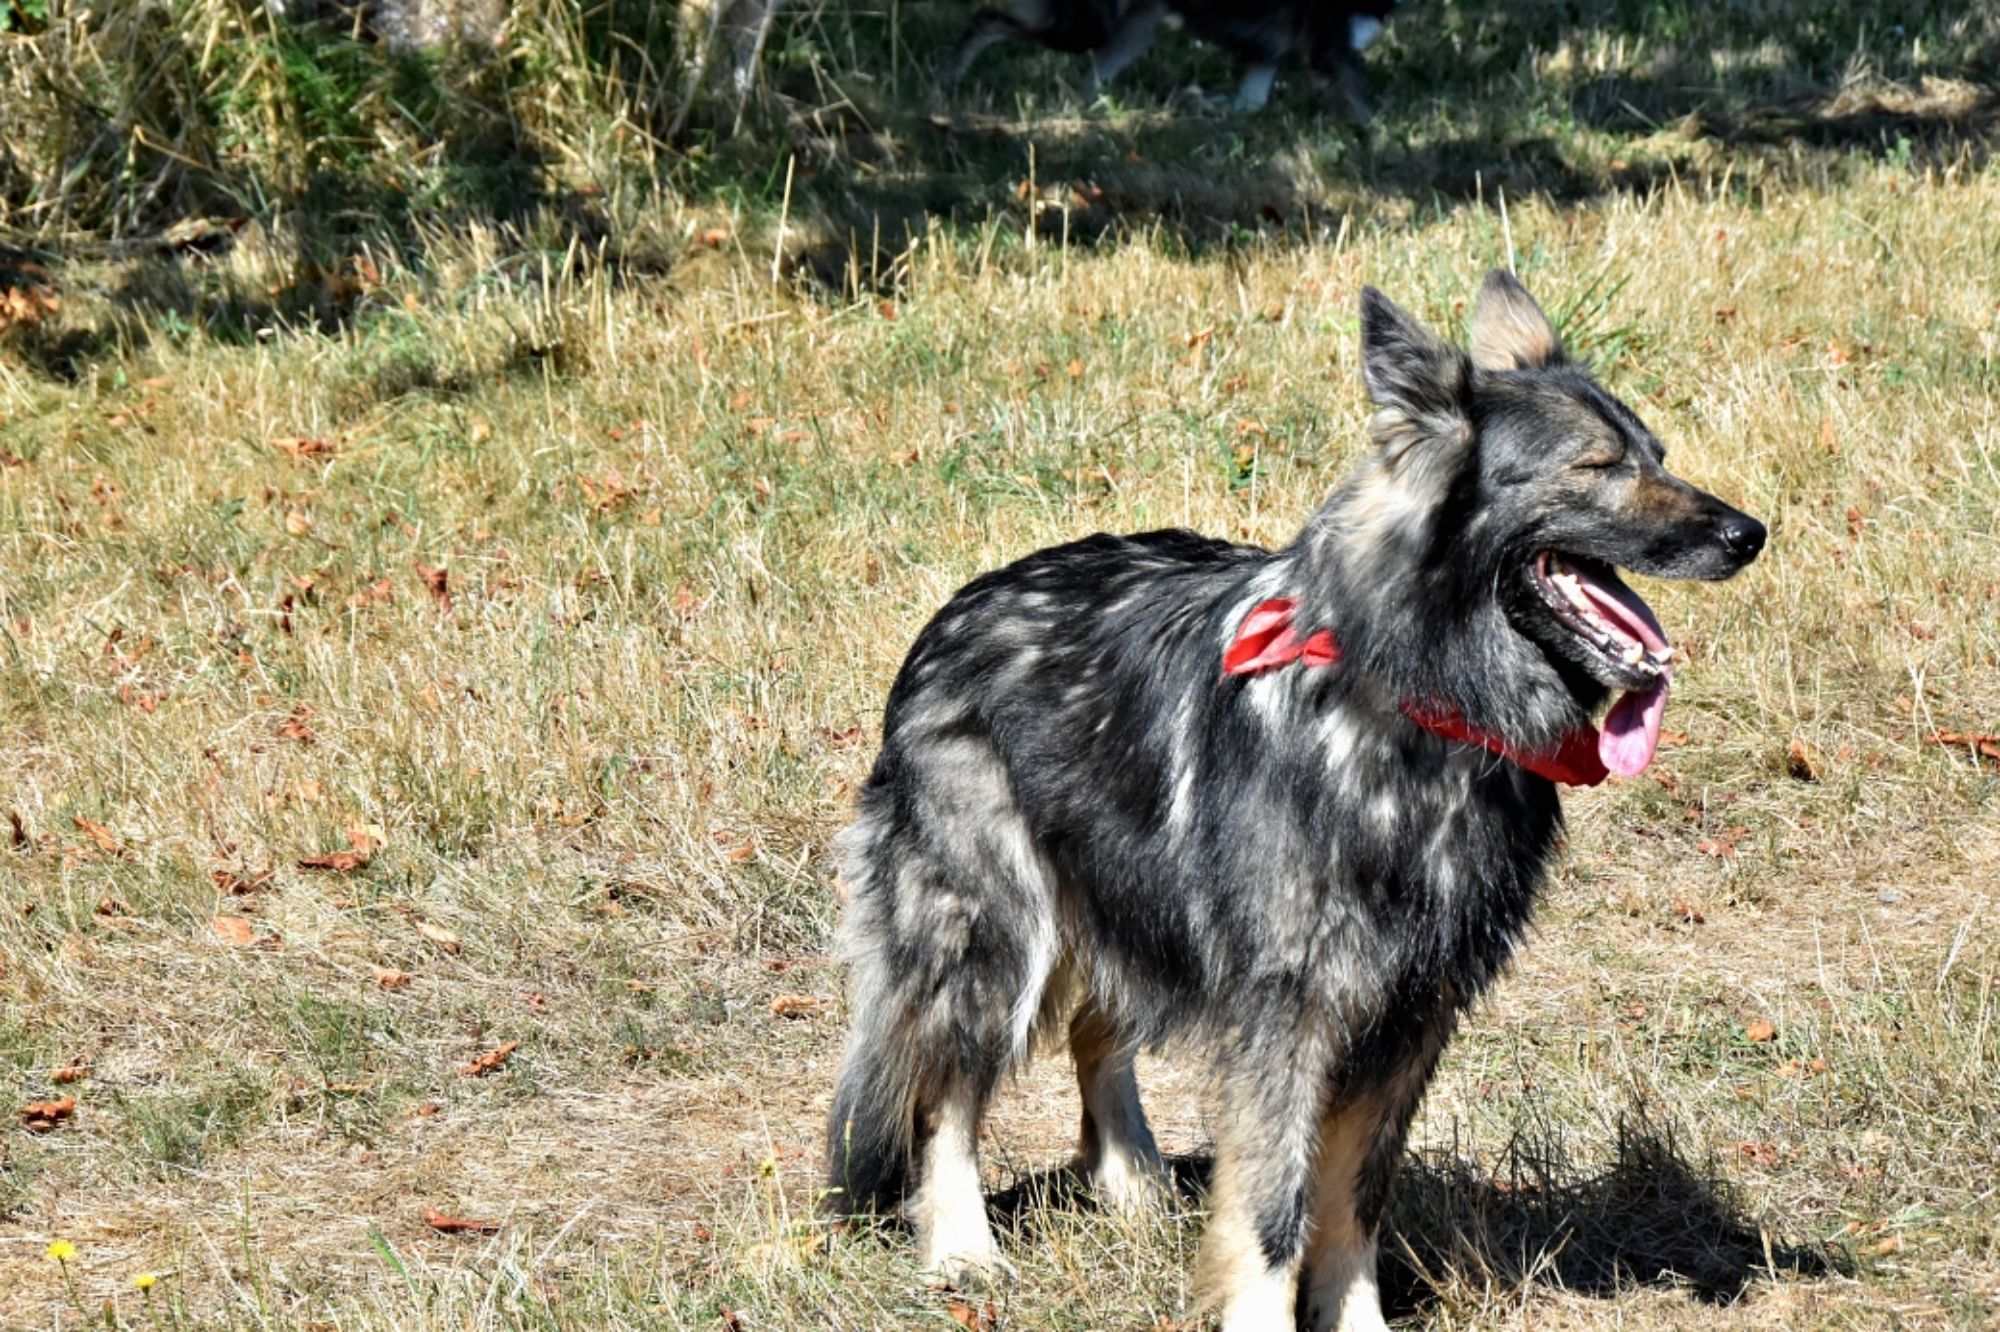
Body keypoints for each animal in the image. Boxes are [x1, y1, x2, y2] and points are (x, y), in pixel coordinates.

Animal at [824, 271, 1765, 1330]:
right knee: (949, 1091)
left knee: (1096, 1029)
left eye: (1657, 455)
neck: (1417, 706)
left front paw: (1357, 1322)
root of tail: (956, 610)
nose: (1749, 534)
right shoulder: (1296, 1014)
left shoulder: (1408, 1019)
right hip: (998, 929)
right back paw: (962, 1248)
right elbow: (1275, 1205)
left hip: (1129, 900)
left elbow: (1351, 1201)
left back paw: (1134, 1184)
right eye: (1598, 465)